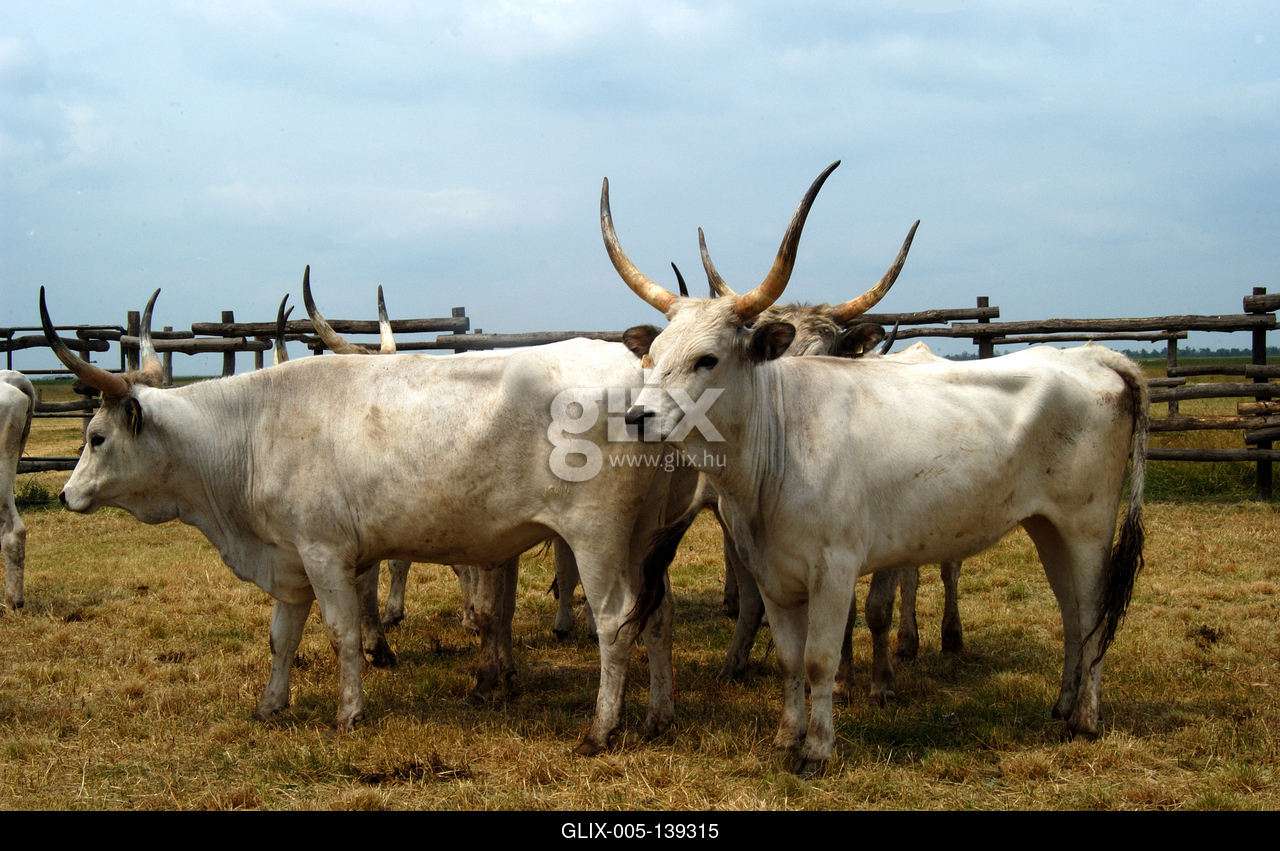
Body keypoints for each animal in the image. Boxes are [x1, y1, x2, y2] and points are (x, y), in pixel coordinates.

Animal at [40, 284, 683, 753]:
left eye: (96, 438)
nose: (69, 495)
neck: (250, 430)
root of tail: (636, 369)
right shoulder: (289, 559)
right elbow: (281, 637)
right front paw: (270, 705)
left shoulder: (324, 552)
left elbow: (340, 632)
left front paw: (349, 712)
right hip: (644, 538)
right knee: (656, 615)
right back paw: (660, 717)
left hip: (597, 539)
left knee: (614, 620)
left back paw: (602, 729)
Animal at [603, 161, 1149, 776]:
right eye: (653, 355)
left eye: (707, 359)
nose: (638, 417)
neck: (778, 445)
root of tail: (1093, 355)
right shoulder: (771, 574)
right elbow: (791, 660)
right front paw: (786, 738)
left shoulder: (836, 567)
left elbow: (821, 657)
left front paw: (817, 750)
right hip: (1048, 526)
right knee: (1073, 614)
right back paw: (1062, 705)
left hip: (1088, 525)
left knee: (1095, 612)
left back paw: (1086, 720)